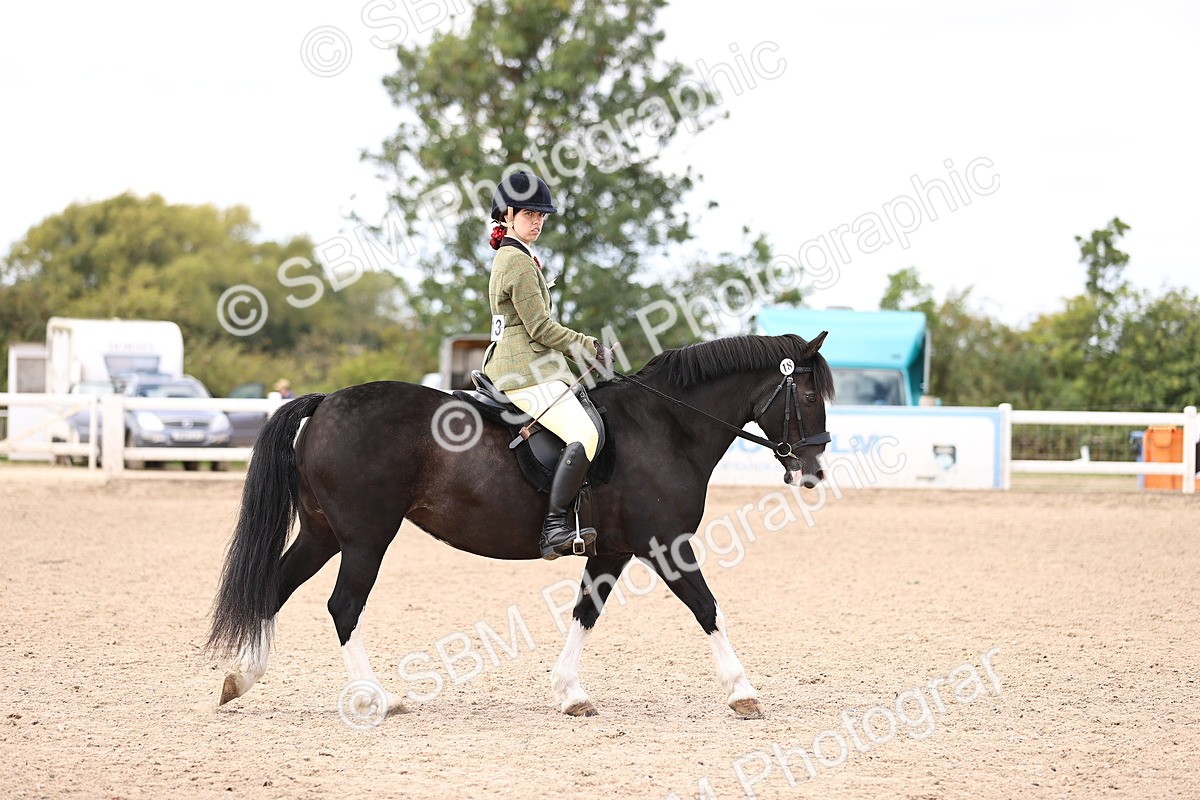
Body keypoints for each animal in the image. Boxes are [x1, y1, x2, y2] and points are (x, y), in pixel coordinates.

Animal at [206, 332, 834, 720]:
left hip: (323, 534)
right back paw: (375, 699)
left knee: (274, 587)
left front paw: (570, 694)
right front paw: (744, 693)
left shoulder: (611, 551)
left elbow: (585, 613)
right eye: (807, 393)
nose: (813, 471)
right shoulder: (666, 545)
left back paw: (240, 678)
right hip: (365, 539)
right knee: (343, 606)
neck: (666, 427)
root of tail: (326, 402)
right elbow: (708, 608)